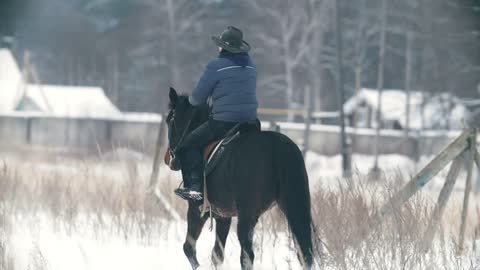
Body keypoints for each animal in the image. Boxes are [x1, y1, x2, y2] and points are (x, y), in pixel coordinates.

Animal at [165, 87, 316, 268]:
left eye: (170, 120)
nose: (170, 159)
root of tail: (278, 150)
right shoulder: (223, 215)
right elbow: (217, 254)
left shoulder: (197, 209)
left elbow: (189, 248)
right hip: (293, 206)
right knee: (304, 253)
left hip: (247, 214)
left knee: (246, 256)